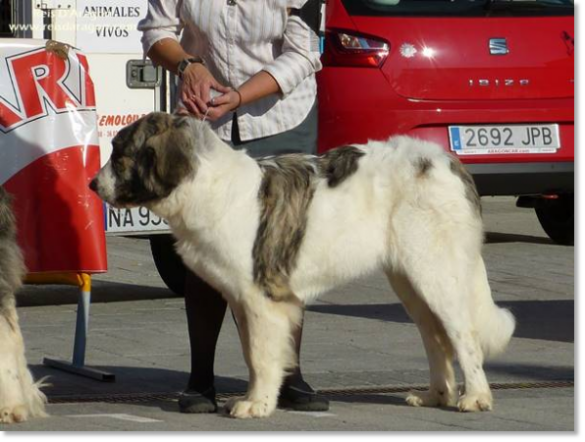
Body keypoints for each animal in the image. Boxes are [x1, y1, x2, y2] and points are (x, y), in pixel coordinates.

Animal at [89, 112, 512, 420]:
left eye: (120, 154)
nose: (93, 184)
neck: (207, 185)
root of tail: (445, 161)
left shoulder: (260, 298)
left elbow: (260, 353)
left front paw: (256, 405)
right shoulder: (244, 299)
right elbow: (253, 353)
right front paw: (257, 397)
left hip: (435, 273)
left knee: (463, 335)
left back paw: (475, 398)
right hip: (409, 280)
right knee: (436, 337)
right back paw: (434, 396)